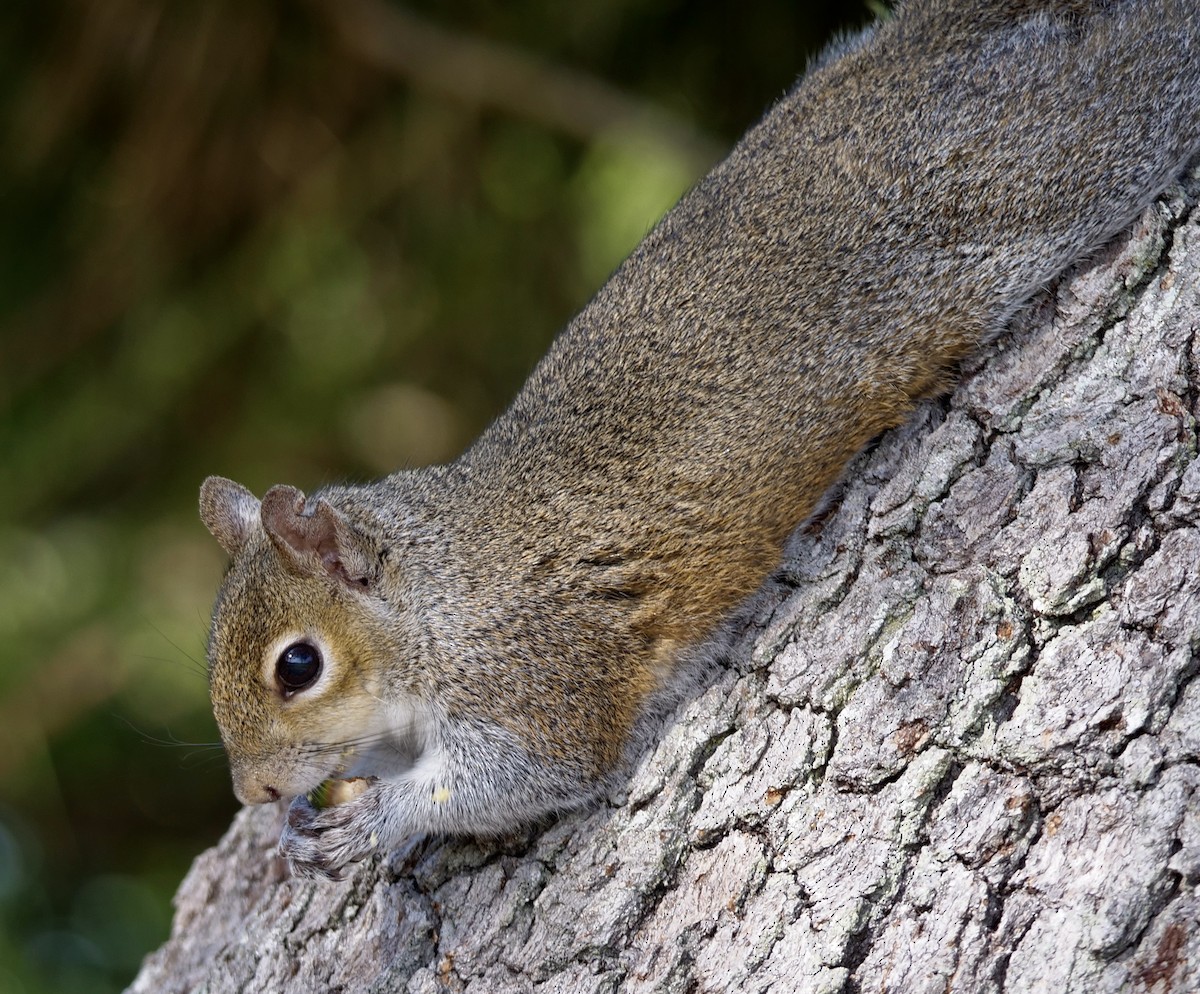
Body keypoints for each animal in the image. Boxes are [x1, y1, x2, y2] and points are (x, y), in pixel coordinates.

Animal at [200, 0, 1200, 880]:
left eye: (298, 666)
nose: (253, 793)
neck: (437, 599)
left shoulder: (540, 670)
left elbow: (526, 773)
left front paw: (378, 821)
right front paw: (299, 831)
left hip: (1051, 162)